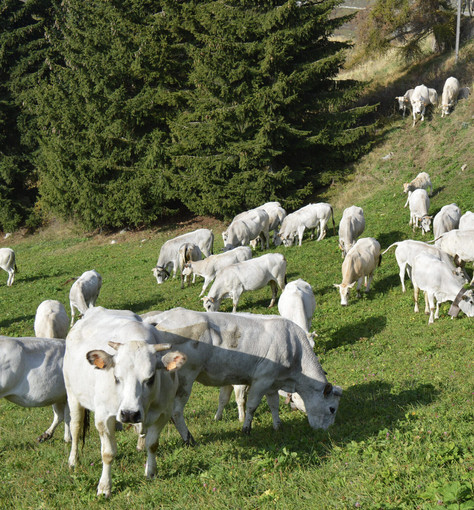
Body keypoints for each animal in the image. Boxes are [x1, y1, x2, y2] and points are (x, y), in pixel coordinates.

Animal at [64, 306, 186, 498]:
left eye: (151, 378)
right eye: (116, 377)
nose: (129, 414)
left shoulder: (163, 414)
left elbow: (152, 445)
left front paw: (151, 472)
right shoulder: (103, 417)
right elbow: (108, 453)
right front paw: (104, 487)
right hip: (72, 394)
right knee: (76, 428)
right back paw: (73, 460)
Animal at [154, 308, 342, 444]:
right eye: (332, 409)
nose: (327, 430)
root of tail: (163, 317)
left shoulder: (272, 382)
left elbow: (273, 404)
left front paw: (278, 426)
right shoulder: (262, 380)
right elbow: (251, 405)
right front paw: (246, 428)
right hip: (186, 378)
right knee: (176, 411)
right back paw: (188, 439)